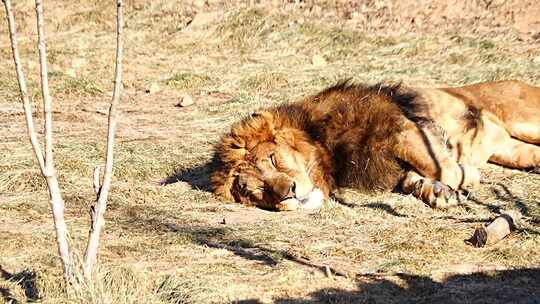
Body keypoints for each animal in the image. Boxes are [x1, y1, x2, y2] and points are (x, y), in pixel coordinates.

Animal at [210, 79, 540, 210]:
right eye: (255, 192)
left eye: (273, 159)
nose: (287, 194)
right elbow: (422, 177)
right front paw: (436, 193)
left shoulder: (404, 129)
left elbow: (445, 167)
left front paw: (463, 177)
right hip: (513, 151)